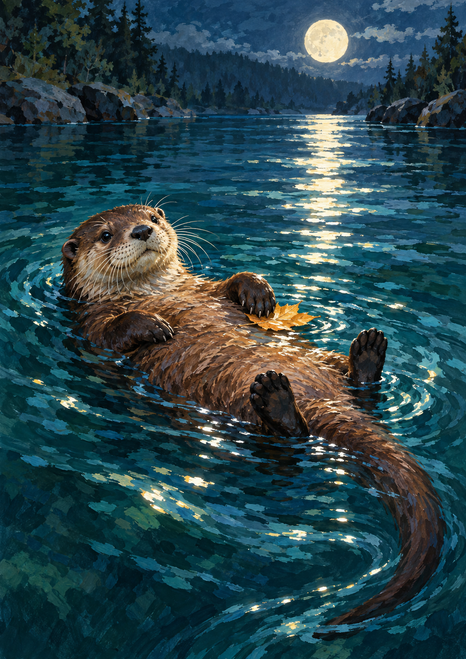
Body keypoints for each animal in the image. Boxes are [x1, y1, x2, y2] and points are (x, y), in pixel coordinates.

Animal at [62, 203, 444, 637]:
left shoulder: (204, 287)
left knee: (360, 390)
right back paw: (277, 399)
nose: (142, 230)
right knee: (288, 440)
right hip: (245, 416)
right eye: (107, 235)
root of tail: (324, 402)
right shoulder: (90, 324)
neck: (154, 293)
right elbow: (113, 330)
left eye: (154, 217)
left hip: (325, 360)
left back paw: (366, 354)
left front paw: (258, 292)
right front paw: (152, 325)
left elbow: (229, 282)